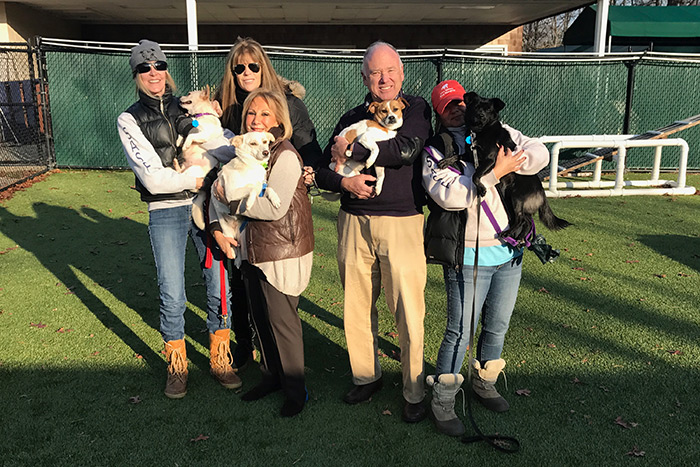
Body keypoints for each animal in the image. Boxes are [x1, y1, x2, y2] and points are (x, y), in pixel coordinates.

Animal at [208, 132, 278, 266]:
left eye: (265, 141)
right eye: (253, 143)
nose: (266, 152)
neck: (251, 166)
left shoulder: (261, 187)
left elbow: (265, 187)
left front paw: (275, 198)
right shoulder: (231, 193)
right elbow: (252, 187)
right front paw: (249, 202)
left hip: (241, 235)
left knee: (239, 246)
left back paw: (239, 260)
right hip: (227, 233)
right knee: (234, 246)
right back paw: (234, 255)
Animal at [440, 89, 572, 247]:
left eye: (488, 109)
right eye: (476, 106)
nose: (481, 116)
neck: (480, 131)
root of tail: (542, 192)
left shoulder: (490, 159)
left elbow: (475, 175)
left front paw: (481, 188)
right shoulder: (471, 155)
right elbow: (457, 155)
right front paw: (445, 161)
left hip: (516, 196)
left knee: (521, 219)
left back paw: (508, 233)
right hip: (509, 198)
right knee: (526, 221)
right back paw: (520, 238)